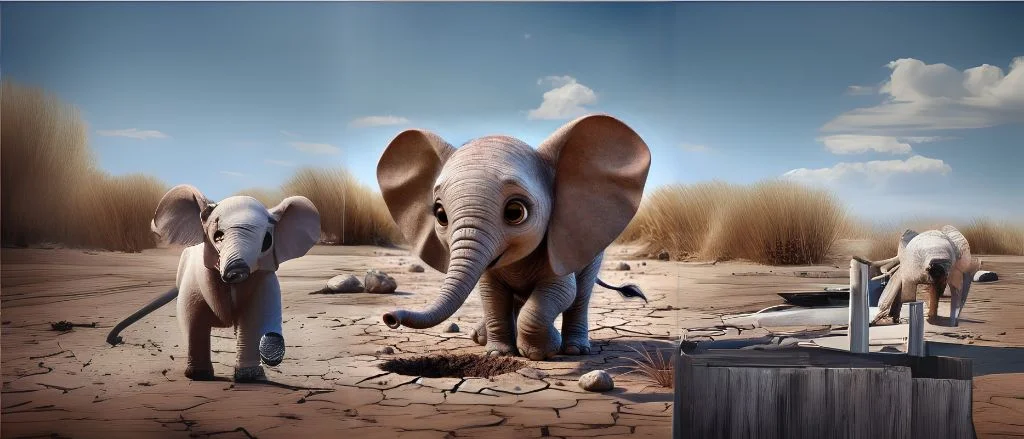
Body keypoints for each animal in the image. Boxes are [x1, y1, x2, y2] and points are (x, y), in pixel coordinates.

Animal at [105, 185, 321, 382]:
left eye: (267, 241)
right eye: (218, 236)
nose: (116, 338)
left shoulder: (264, 280)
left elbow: (255, 319)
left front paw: (249, 376)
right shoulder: (193, 283)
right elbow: (192, 319)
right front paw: (198, 376)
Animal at [376, 114, 651, 361]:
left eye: (515, 212)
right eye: (441, 214)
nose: (389, 318)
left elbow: (561, 291)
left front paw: (542, 351)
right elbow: (492, 296)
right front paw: (498, 352)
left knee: (581, 294)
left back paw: (575, 350)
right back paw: (480, 338)